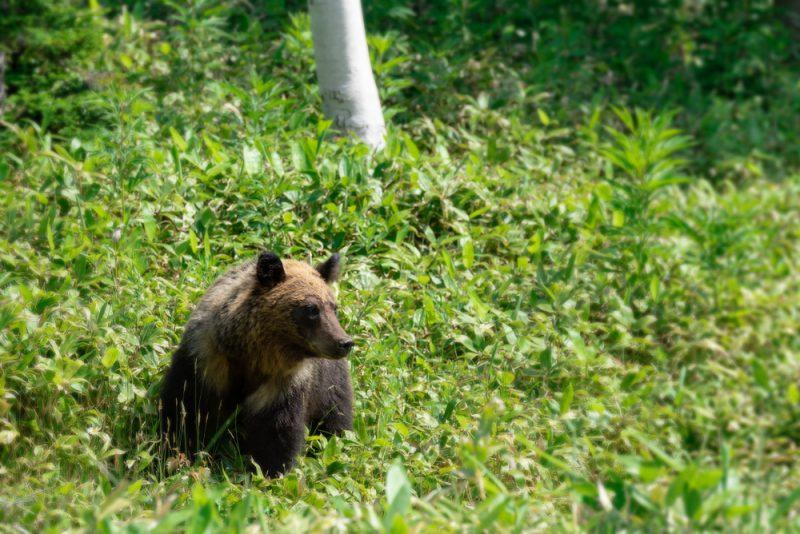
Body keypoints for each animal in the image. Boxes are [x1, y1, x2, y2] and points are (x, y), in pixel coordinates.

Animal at [159, 251, 354, 478]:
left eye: (333, 307)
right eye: (311, 308)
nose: (344, 342)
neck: (253, 357)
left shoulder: (282, 384)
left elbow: (276, 431)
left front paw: (268, 471)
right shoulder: (205, 363)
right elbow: (185, 411)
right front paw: (176, 455)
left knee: (335, 413)